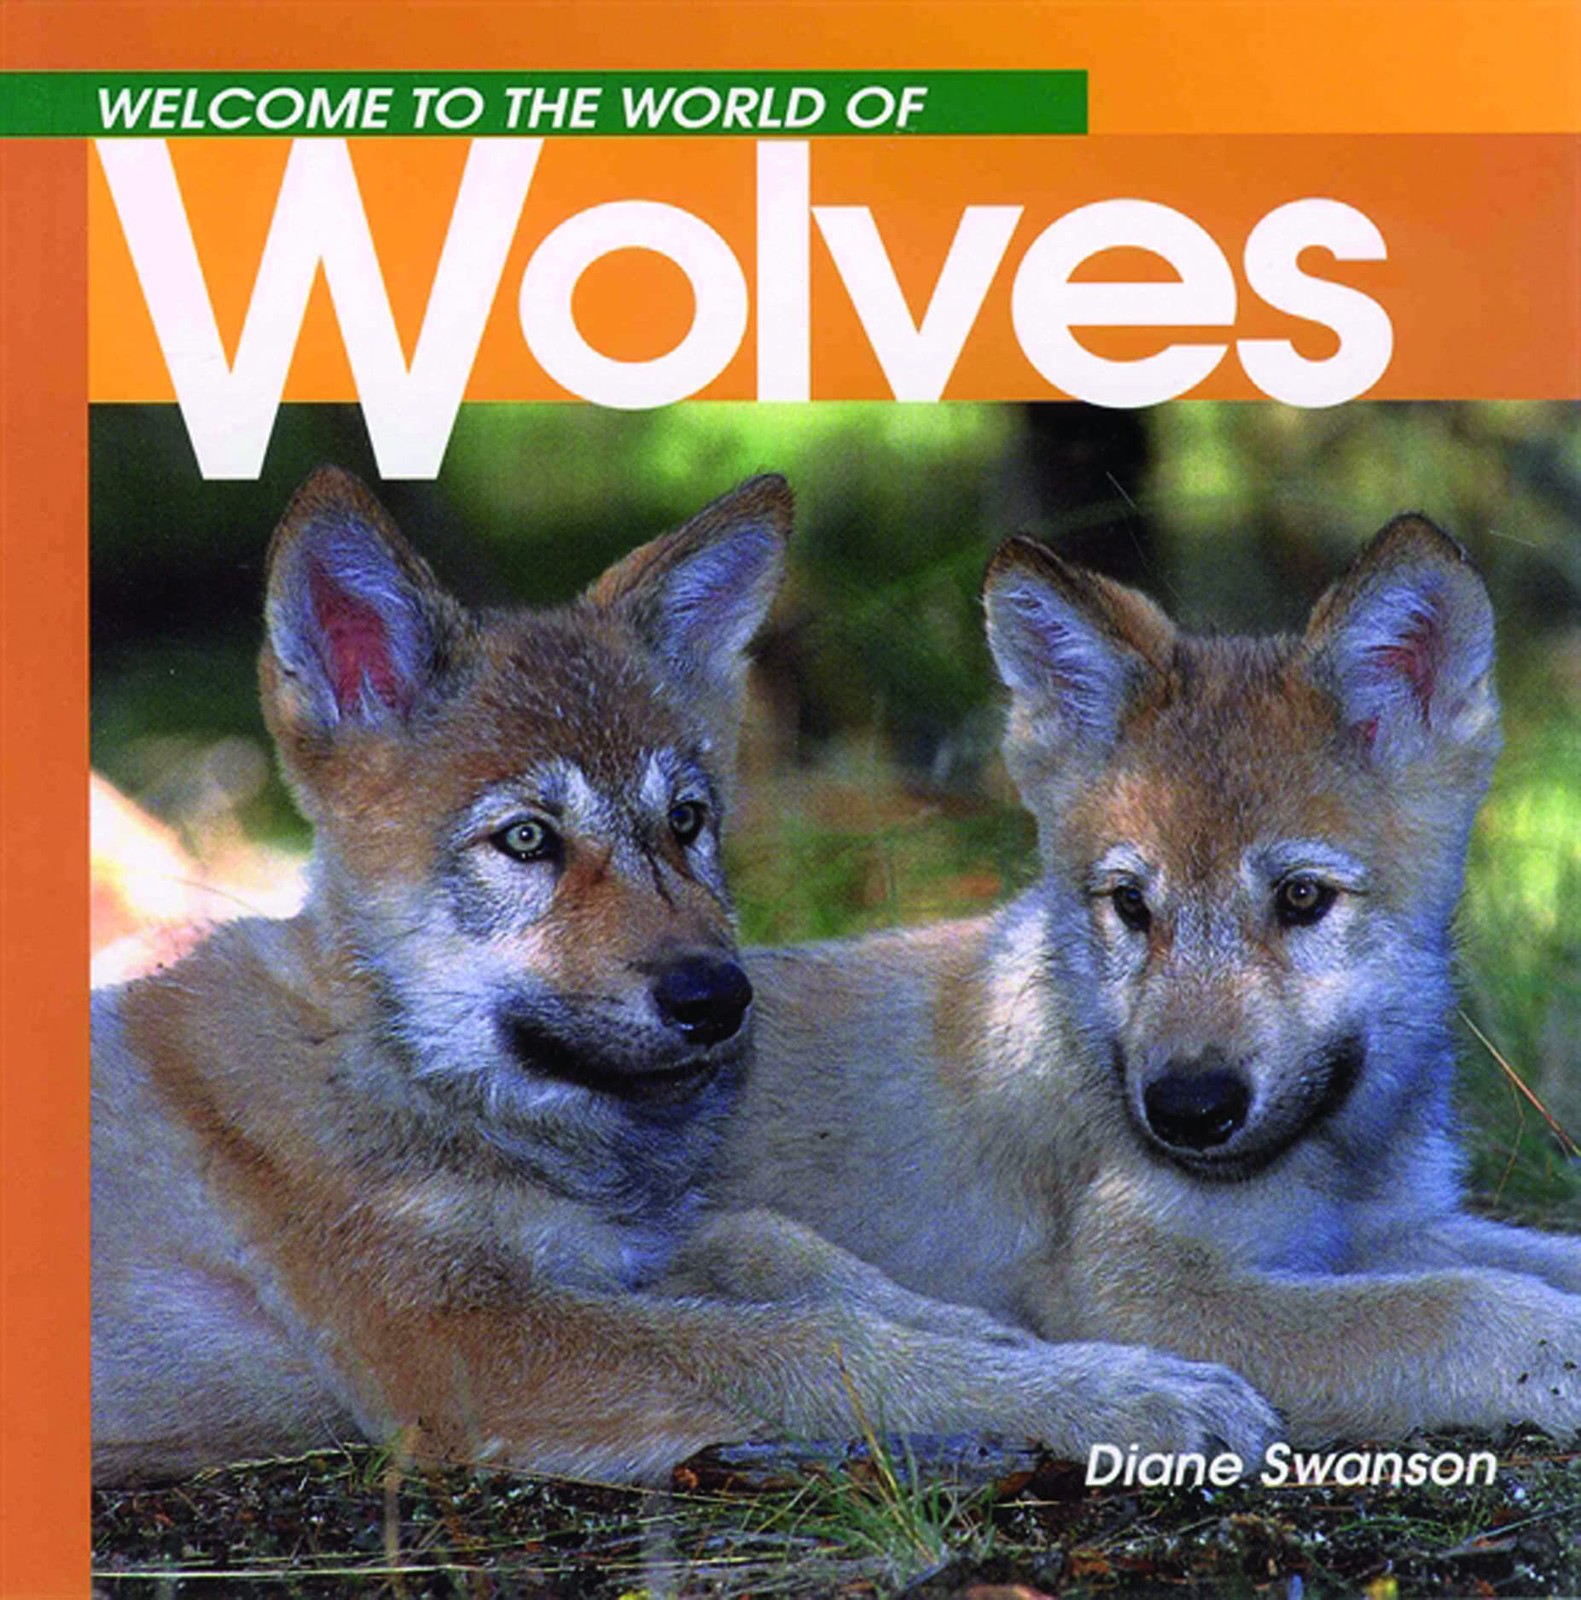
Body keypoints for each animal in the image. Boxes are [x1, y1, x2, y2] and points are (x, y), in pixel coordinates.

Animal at [93, 466, 1278, 1486]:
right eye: (526, 839)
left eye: (688, 821)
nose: (720, 997)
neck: (398, 1071)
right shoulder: (470, 1337)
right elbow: (811, 1344)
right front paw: (1117, 1393)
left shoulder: (605, 1254)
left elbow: (779, 1249)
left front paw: (1009, 1338)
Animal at [722, 514, 1581, 1443]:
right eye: (1130, 904)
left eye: (1301, 896)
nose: (1187, 1112)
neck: (1335, 1158)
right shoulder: (1127, 1286)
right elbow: (1458, 1308)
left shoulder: (1394, 1229)